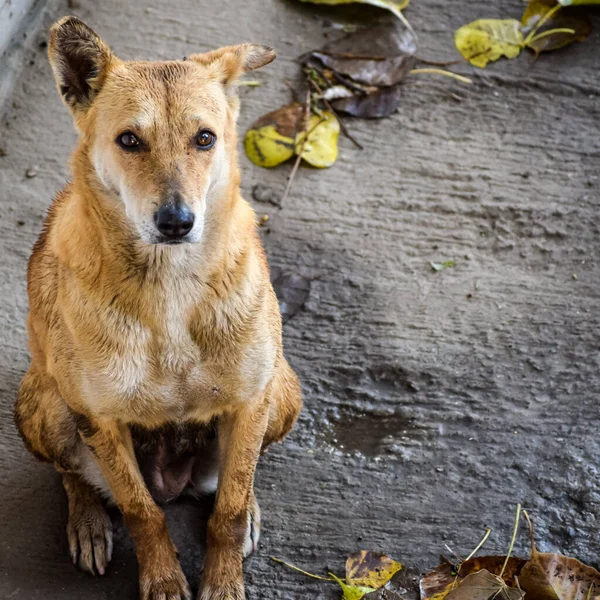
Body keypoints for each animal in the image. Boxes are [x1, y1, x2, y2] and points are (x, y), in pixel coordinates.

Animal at [14, 15, 302, 600]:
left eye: (205, 138)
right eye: (129, 140)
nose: (176, 221)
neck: (171, 287)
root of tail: (176, 481)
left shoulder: (252, 401)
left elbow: (229, 507)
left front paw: (224, 578)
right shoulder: (99, 419)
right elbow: (141, 512)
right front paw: (165, 579)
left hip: (283, 390)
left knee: (242, 475)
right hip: (46, 406)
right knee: (76, 477)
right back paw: (87, 521)